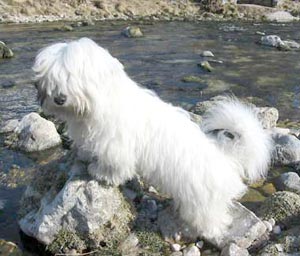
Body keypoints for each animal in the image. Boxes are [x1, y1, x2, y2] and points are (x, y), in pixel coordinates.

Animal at [32, 37, 272, 240]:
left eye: (73, 78)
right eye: (53, 80)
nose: (59, 99)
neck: (99, 104)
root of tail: (227, 159)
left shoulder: (116, 146)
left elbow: (115, 166)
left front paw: (102, 174)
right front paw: (84, 156)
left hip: (203, 200)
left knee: (214, 218)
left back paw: (207, 231)